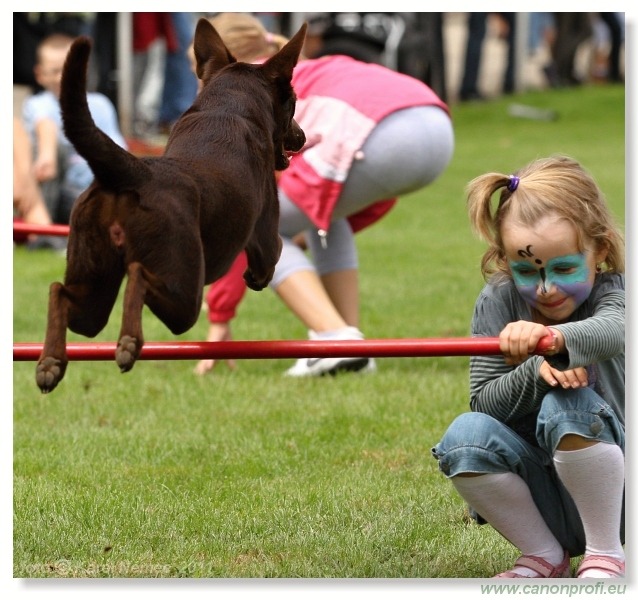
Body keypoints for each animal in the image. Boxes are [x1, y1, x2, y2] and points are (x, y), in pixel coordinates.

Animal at [36, 18, 308, 392]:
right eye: (292, 101)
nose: (303, 136)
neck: (227, 108)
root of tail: (133, 173)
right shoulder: (266, 237)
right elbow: (271, 256)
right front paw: (253, 277)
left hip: (92, 285)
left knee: (59, 291)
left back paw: (50, 364)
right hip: (184, 293)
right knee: (138, 277)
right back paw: (127, 345)